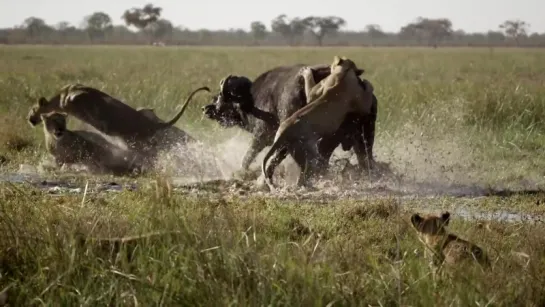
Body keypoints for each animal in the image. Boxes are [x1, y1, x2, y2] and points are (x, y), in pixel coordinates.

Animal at [27, 83, 210, 154]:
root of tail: (151, 125)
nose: (29, 119)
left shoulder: (81, 94)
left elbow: (81, 96)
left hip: (137, 137)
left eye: (33, 109)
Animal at [260, 55, 374, 190]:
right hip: (304, 152)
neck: (343, 73)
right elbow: (368, 93)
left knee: (276, 162)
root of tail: (285, 130)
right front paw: (367, 82)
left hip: (288, 147)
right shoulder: (363, 104)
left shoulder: (315, 91)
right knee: (306, 172)